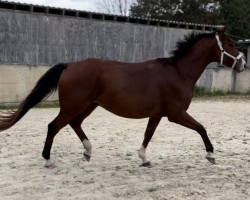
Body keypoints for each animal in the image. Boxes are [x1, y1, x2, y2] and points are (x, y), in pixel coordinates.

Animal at [0, 26, 246, 167]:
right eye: (231, 44)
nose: (243, 64)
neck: (178, 72)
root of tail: (70, 65)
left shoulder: (158, 114)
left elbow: (148, 134)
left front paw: (144, 159)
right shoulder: (176, 114)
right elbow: (201, 128)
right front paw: (211, 155)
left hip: (89, 106)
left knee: (75, 124)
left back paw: (88, 152)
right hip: (73, 106)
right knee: (54, 126)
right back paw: (48, 159)